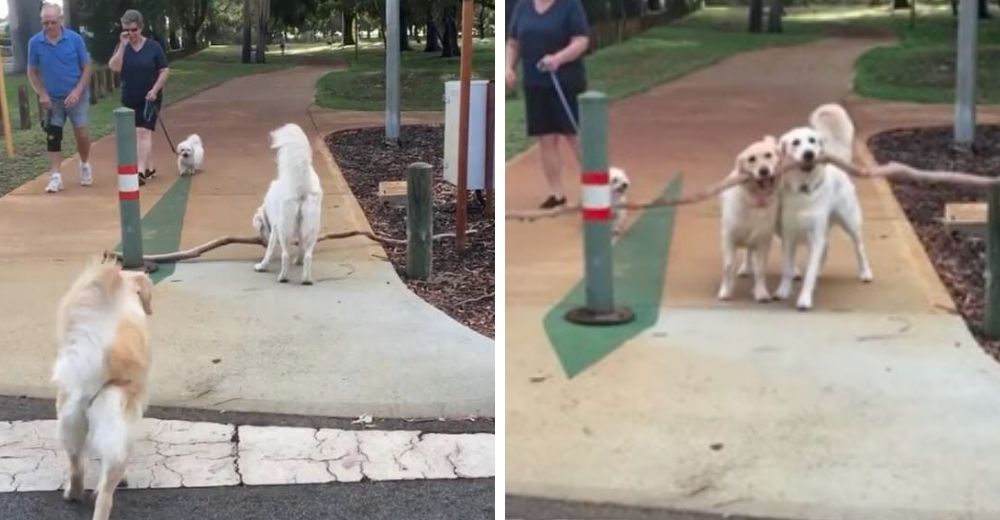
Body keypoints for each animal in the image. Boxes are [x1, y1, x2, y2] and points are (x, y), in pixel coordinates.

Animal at [252, 122, 322, 284]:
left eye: (261, 229)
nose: (262, 242)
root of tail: (301, 187)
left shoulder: (275, 228)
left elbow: (270, 250)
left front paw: (262, 265)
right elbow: (301, 248)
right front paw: (299, 260)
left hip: (285, 228)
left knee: (285, 255)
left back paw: (283, 277)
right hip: (312, 227)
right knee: (309, 255)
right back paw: (306, 279)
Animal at [776, 103, 872, 310]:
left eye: (812, 141)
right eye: (796, 142)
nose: (809, 153)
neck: (804, 189)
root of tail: (839, 168)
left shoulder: (815, 233)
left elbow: (809, 273)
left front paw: (805, 298)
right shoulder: (789, 235)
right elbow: (787, 268)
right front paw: (783, 290)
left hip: (850, 223)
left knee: (859, 248)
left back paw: (866, 273)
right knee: (826, 248)